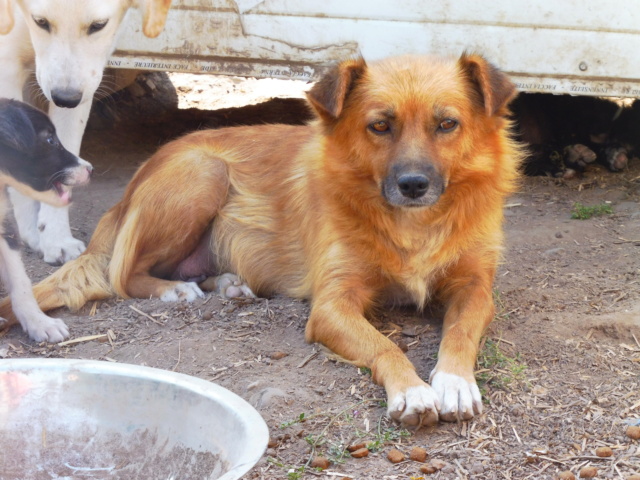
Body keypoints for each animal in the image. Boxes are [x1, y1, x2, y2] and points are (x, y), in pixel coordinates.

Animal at [0, 0, 170, 262]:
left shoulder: (84, 81)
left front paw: (55, 238)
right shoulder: (8, 67)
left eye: (98, 25)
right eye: (41, 22)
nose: (65, 99)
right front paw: (30, 231)